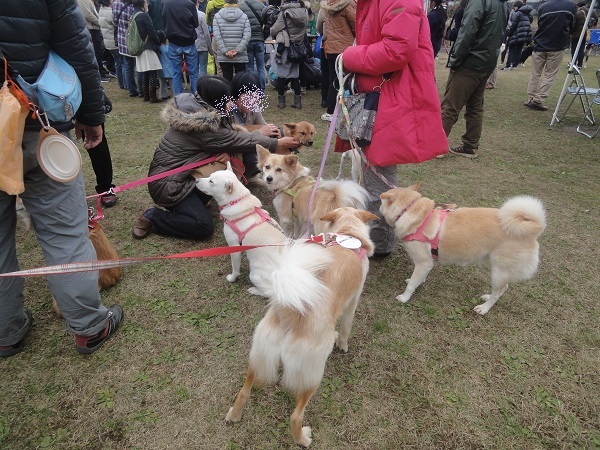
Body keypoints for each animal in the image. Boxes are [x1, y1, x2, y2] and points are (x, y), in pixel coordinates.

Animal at [196, 165, 290, 296]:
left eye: (211, 181)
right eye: (209, 176)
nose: (196, 180)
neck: (236, 201)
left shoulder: (234, 246)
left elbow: (235, 268)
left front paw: (232, 278)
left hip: (254, 274)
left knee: (270, 292)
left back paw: (254, 290)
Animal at [227, 207, 378, 446]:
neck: (347, 233)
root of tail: (291, 313)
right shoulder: (352, 302)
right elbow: (346, 329)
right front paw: (343, 345)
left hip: (258, 356)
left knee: (244, 391)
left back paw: (234, 415)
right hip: (312, 373)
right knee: (295, 416)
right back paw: (303, 439)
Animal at [382, 182, 548, 312]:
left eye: (381, 203)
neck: (415, 215)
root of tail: (533, 229)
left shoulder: (423, 262)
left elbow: (411, 285)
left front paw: (404, 298)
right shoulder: (428, 263)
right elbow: (418, 278)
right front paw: (417, 281)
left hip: (499, 272)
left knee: (499, 292)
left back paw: (484, 308)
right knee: (502, 289)